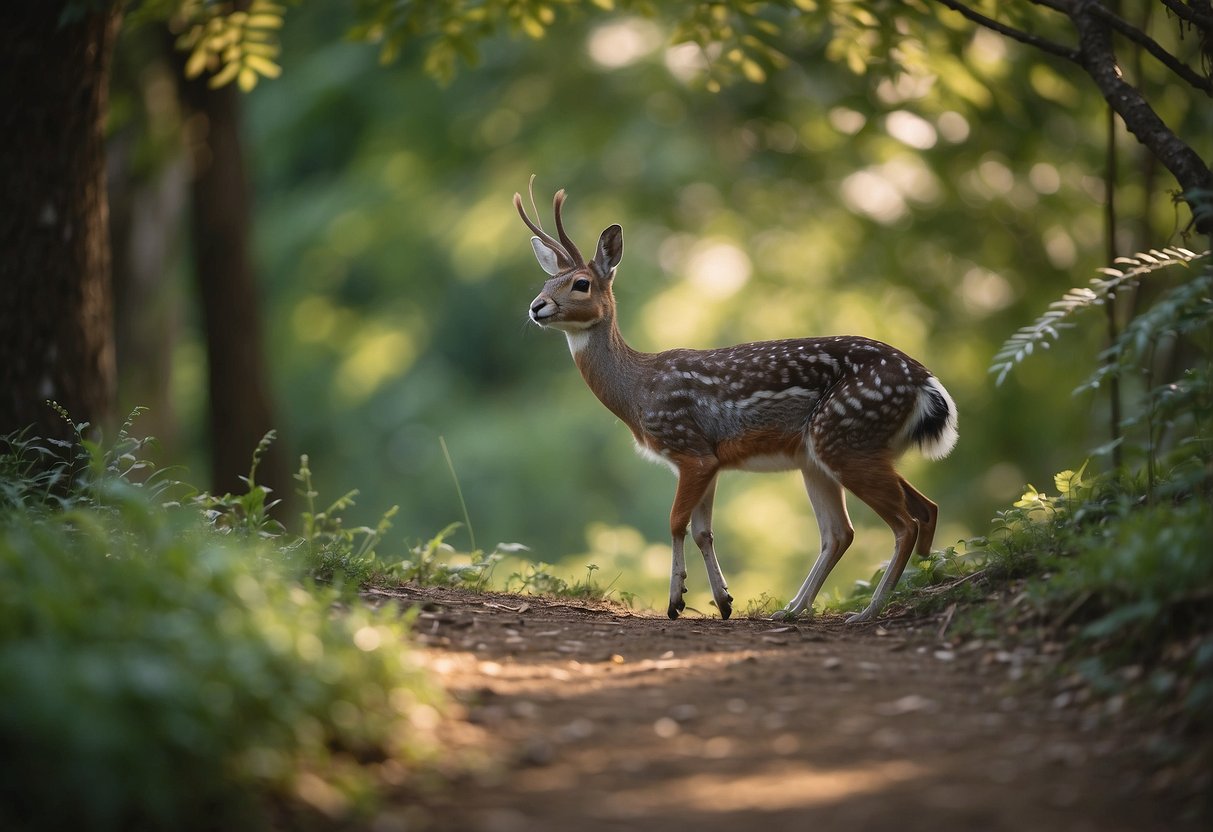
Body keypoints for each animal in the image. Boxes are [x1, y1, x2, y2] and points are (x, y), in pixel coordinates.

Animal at [516, 184, 960, 625]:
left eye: (581, 283)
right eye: (548, 280)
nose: (536, 306)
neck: (638, 391)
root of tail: (925, 382)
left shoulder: (689, 447)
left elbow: (676, 523)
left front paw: (677, 602)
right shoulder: (709, 459)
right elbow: (702, 530)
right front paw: (723, 600)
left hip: (843, 435)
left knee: (902, 523)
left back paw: (867, 611)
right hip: (831, 452)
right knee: (871, 524)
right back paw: (793, 609)